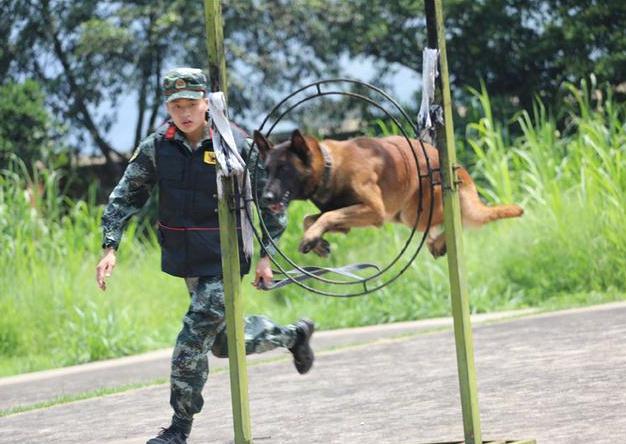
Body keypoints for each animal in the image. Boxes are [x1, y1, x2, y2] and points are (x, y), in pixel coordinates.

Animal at [251, 128, 520, 258]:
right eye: (267, 170)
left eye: (284, 170)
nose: (265, 199)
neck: (330, 166)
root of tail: (455, 167)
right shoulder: (346, 219)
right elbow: (311, 219)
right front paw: (317, 242)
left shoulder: (374, 211)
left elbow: (326, 216)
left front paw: (311, 239)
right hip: (404, 215)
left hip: (413, 214)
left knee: (460, 219)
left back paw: (440, 241)